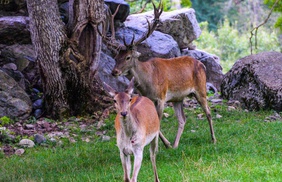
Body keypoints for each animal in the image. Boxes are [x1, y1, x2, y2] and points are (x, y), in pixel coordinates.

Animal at [99, 0, 216, 149]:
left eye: (128, 57)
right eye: (116, 57)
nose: (114, 71)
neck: (148, 81)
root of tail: (202, 64)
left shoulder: (161, 97)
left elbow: (158, 122)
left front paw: (163, 144)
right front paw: (167, 144)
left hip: (201, 88)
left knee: (208, 112)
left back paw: (213, 139)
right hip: (178, 98)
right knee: (182, 119)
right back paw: (175, 145)